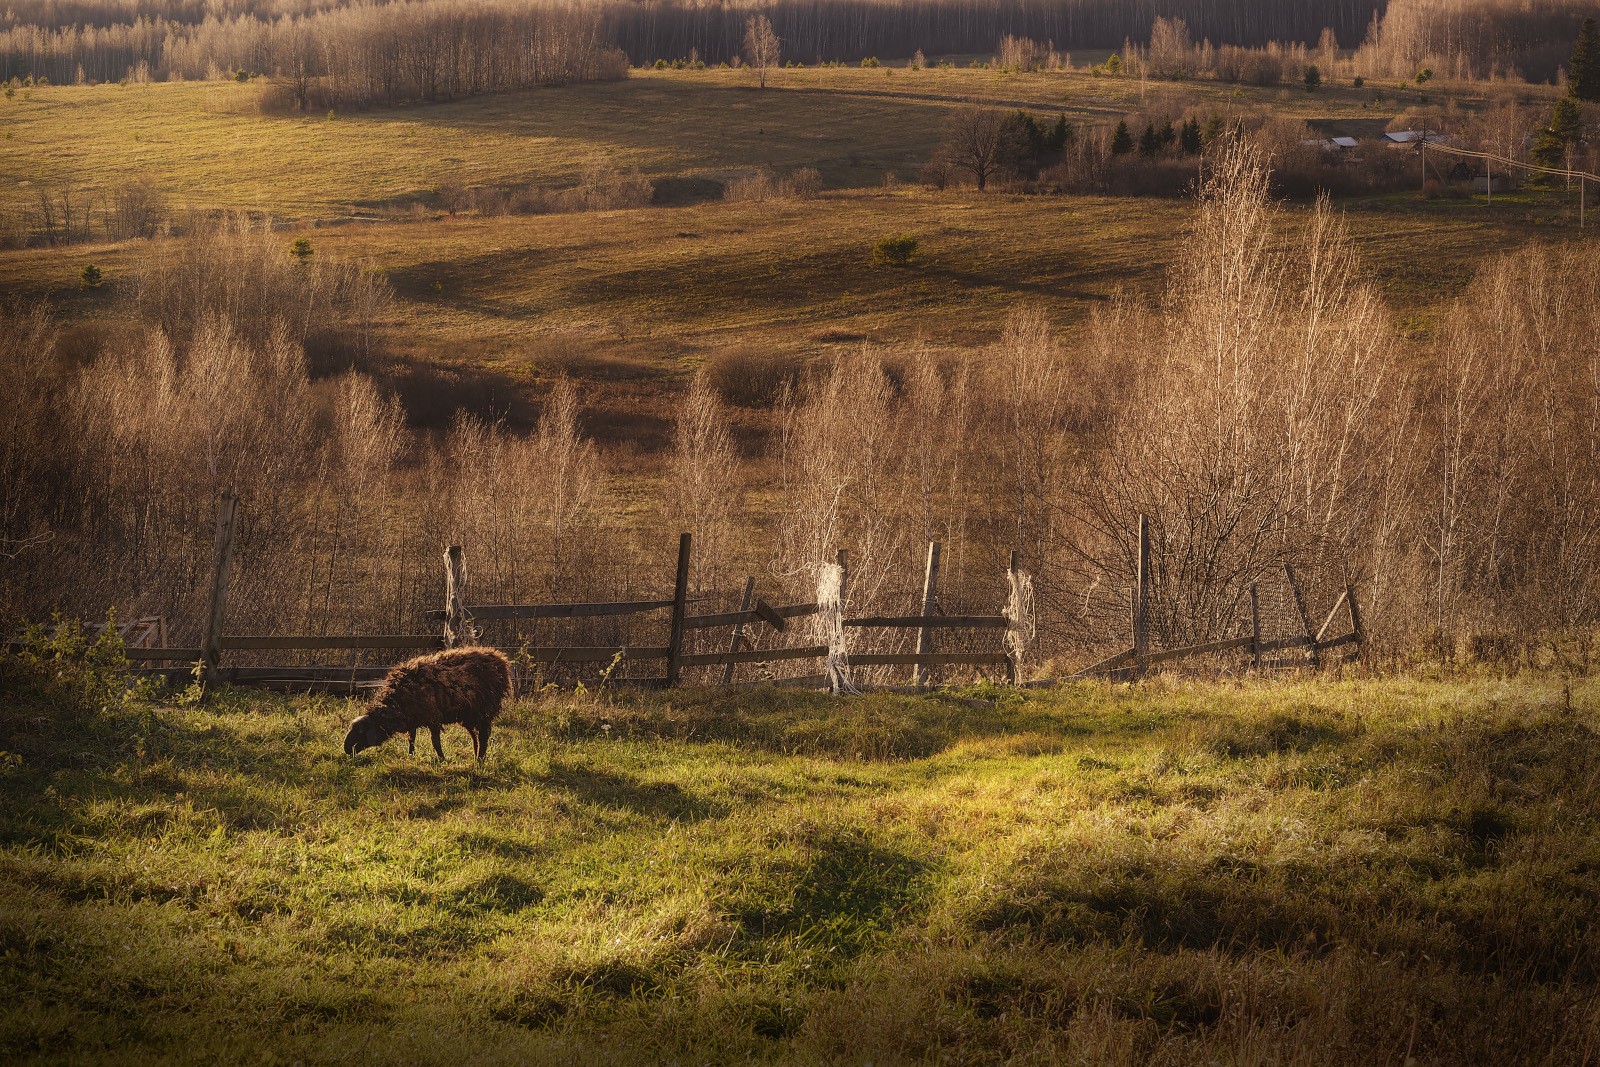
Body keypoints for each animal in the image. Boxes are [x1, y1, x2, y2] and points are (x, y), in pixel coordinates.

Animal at [342, 646, 512, 764]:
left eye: (361, 732)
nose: (346, 749)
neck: (396, 703)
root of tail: (500, 659)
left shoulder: (433, 718)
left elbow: (435, 742)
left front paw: (442, 759)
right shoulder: (412, 717)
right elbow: (412, 738)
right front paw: (411, 755)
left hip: (484, 711)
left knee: (483, 736)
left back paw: (480, 760)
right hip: (469, 714)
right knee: (474, 735)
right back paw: (476, 756)